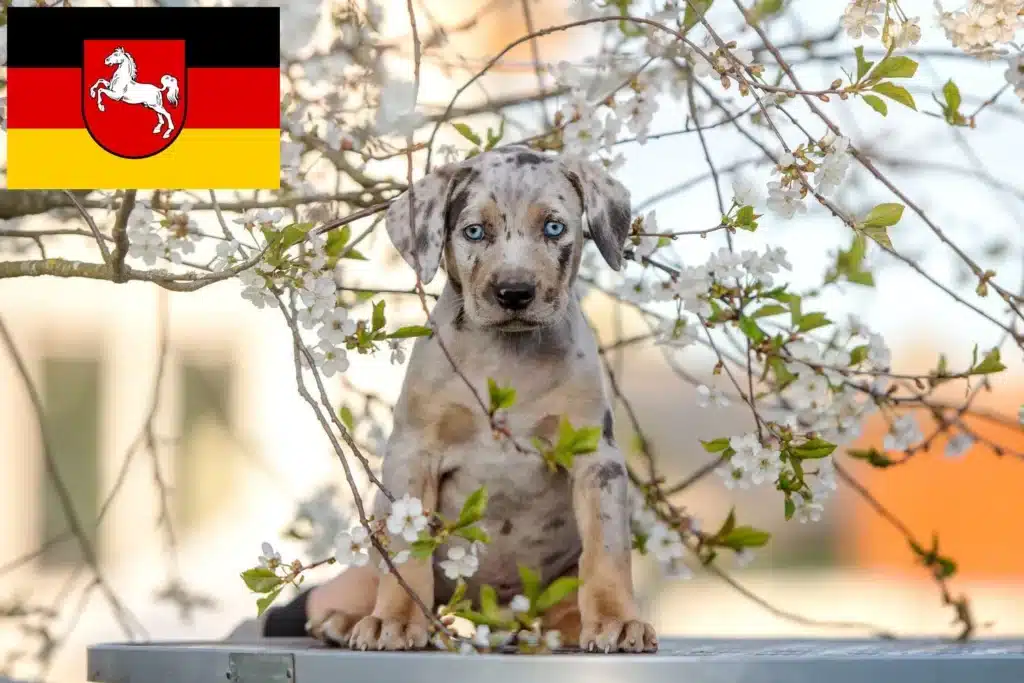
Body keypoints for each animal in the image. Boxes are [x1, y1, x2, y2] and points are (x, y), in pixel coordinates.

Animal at [309, 147, 655, 655]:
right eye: (474, 231)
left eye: (554, 227)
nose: (514, 292)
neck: (507, 355)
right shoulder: (414, 454)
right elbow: (406, 554)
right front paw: (395, 620)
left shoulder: (597, 460)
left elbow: (607, 551)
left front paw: (616, 620)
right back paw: (348, 617)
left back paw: (568, 626)